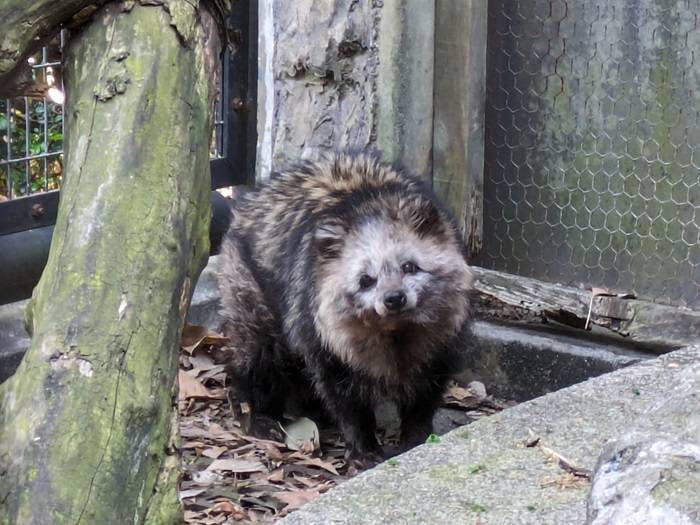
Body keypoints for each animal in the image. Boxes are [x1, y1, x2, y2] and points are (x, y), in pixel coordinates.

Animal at [217, 152, 470, 462]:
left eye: (409, 266)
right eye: (366, 280)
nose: (394, 298)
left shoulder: (443, 336)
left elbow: (426, 389)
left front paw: (416, 435)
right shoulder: (319, 329)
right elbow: (344, 395)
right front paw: (362, 443)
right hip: (246, 283)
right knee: (259, 353)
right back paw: (257, 409)